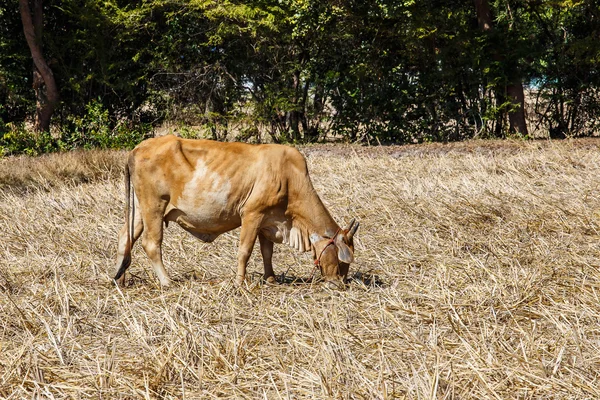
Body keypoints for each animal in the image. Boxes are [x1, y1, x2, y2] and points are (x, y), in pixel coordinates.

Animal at [113, 134, 358, 288]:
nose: (340, 283)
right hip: (154, 205)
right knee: (151, 243)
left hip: (140, 208)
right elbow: (245, 251)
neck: (290, 177)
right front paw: (240, 282)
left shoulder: (267, 221)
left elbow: (267, 253)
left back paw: (120, 279)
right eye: (342, 261)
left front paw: (271, 279)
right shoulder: (252, 214)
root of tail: (137, 149)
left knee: (125, 237)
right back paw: (166, 281)